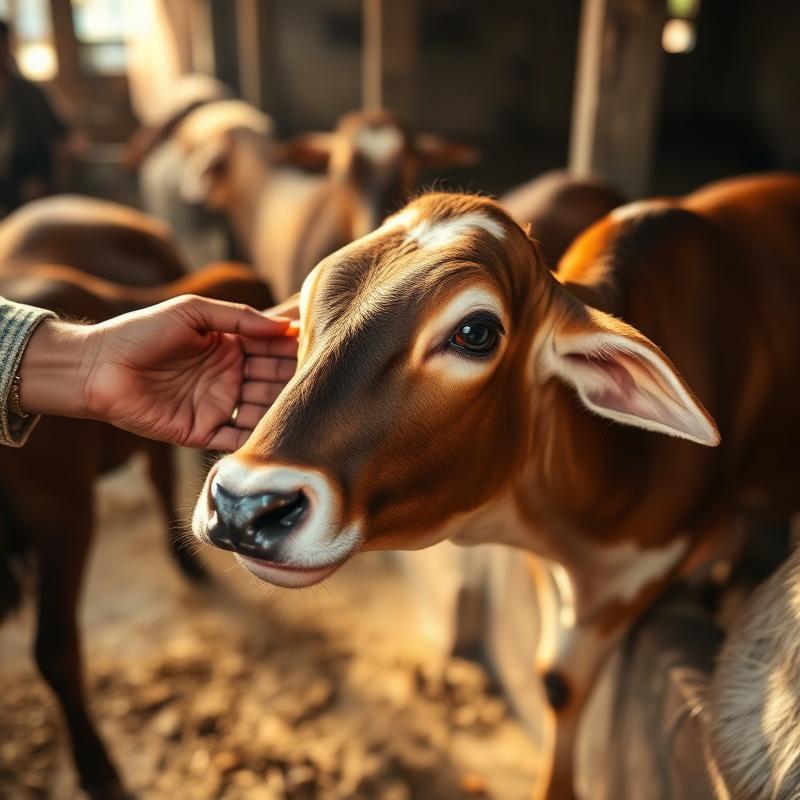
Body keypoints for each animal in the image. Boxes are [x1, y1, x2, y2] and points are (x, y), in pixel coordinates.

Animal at [192, 173, 800, 798]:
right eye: (311, 299)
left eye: (476, 332)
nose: (243, 504)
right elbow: (552, 677)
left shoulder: (646, 567)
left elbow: (566, 682)